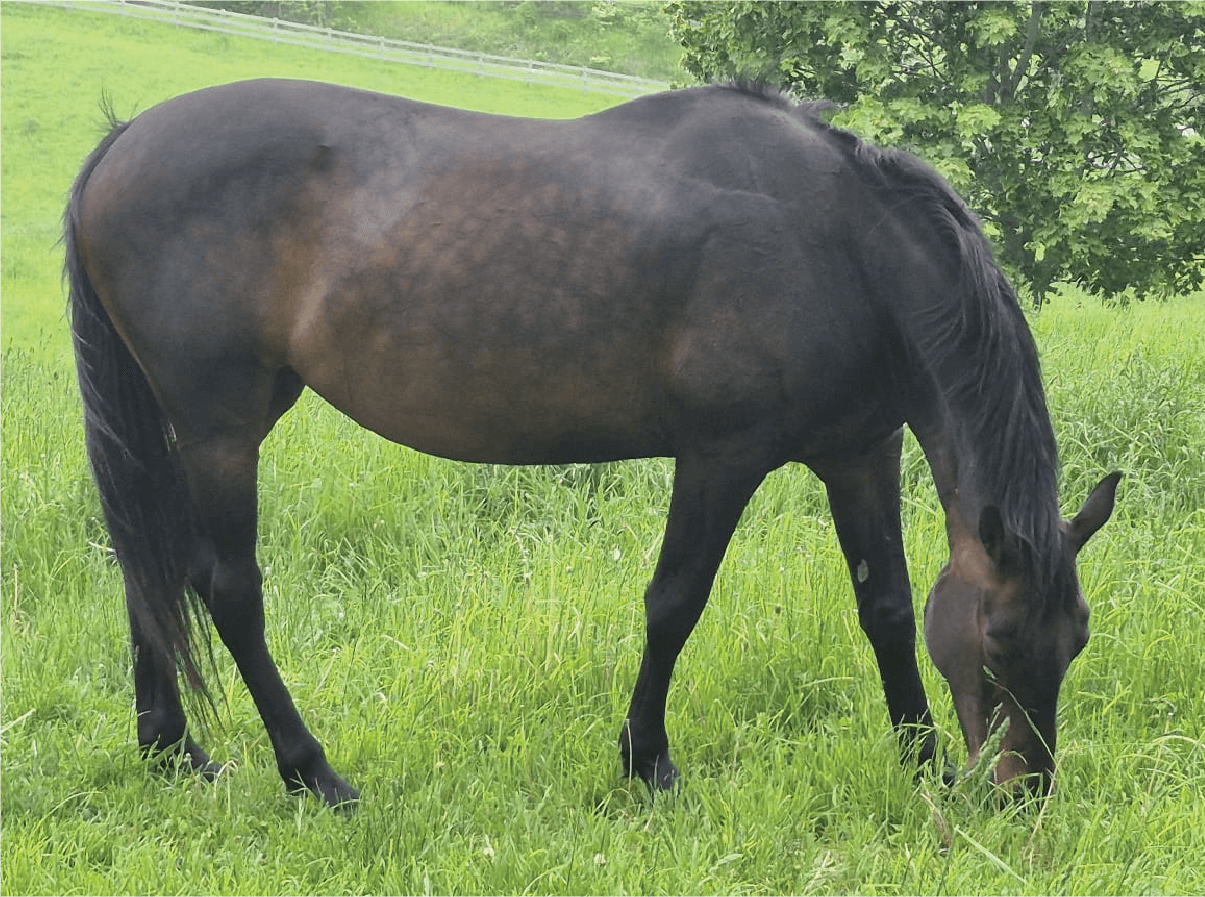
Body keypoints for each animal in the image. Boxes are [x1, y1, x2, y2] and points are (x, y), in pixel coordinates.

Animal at [64, 79, 1119, 808]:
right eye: (999, 638)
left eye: (1076, 639)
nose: (1022, 794)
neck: (838, 244)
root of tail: (123, 143)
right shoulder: (721, 455)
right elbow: (674, 602)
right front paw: (647, 762)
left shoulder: (859, 450)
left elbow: (887, 609)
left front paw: (920, 760)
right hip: (221, 428)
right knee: (226, 588)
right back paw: (311, 772)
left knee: (148, 564)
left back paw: (173, 751)